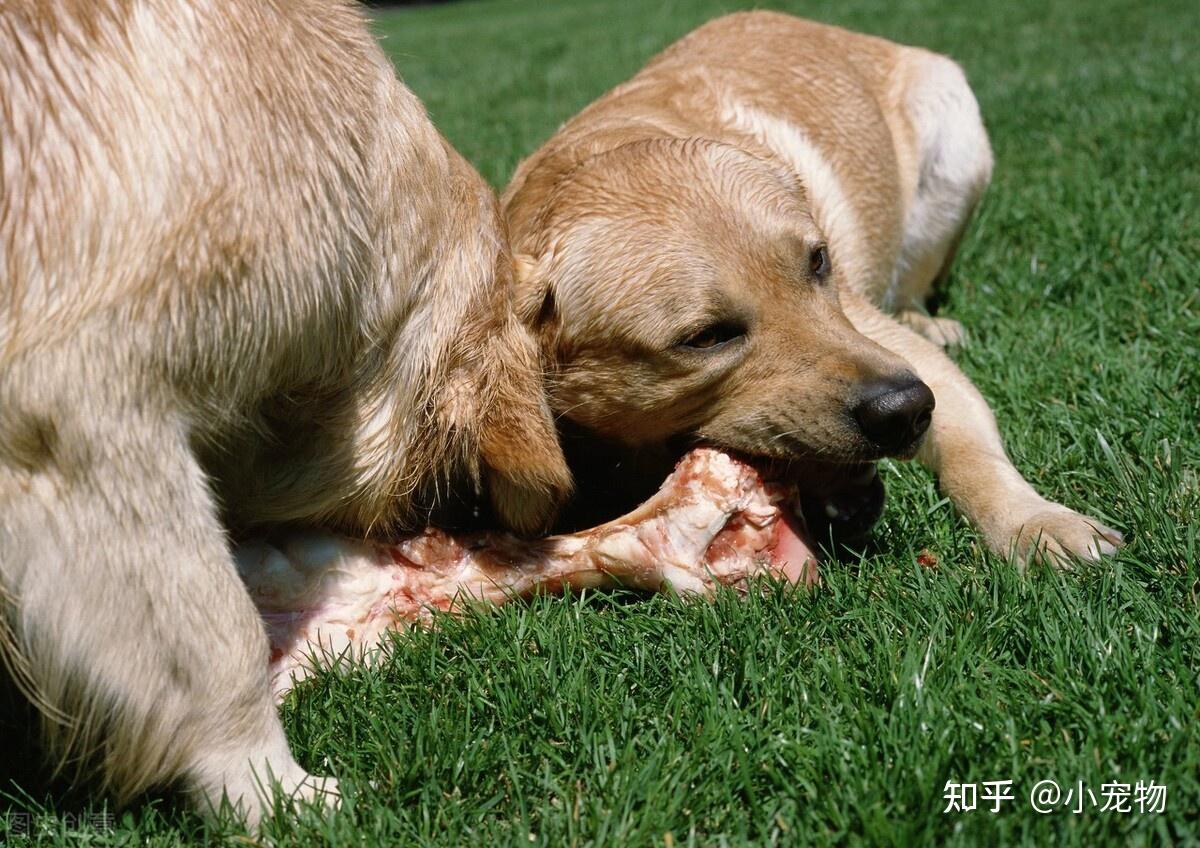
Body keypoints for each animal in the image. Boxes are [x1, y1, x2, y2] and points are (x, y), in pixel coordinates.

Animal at [501, 11, 1118, 563]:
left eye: (819, 261)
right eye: (705, 338)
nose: (906, 409)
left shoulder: (904, 355)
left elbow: (973, 452)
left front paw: (1038, 522)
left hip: (955, 146)